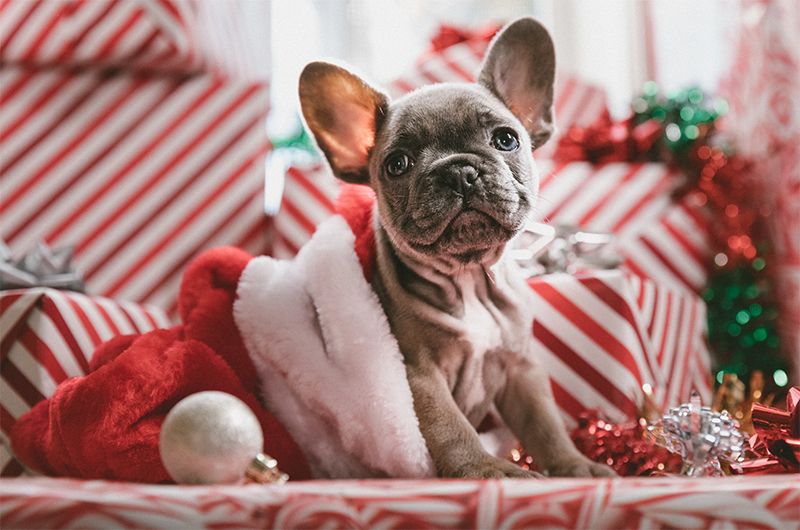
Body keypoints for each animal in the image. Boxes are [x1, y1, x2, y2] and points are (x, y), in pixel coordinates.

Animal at [296, 17, 616, 478]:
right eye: (397, 164)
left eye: (506, 140)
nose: (458, 171)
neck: (468, 277)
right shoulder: (419, 377)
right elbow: (451, 428)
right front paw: (488, 469)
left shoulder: (521, 369)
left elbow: (546, 424)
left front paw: (575, 466)